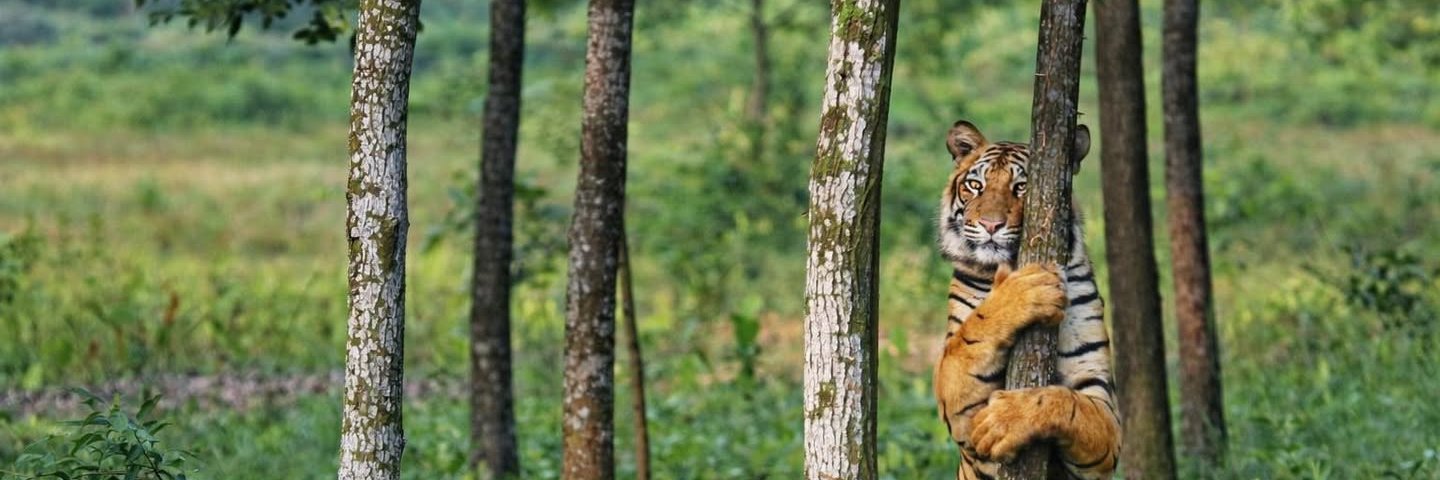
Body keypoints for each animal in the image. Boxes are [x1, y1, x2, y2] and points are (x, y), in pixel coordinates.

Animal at [932, 120, 1121, 480]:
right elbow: (969, 340)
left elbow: (1068, 403)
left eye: (1021, 188)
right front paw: (1026, 290)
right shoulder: (960, 409)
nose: (991, 224)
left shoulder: (1104, 407)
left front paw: (1003, 421)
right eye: (975, 185)